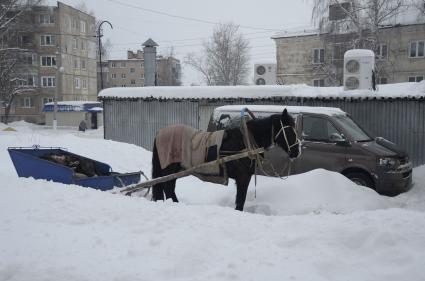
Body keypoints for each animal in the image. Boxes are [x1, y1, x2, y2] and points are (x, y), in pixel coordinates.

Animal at [151, 108, 300, 209]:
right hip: (169, 169)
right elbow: (240, 201)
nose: (297, 152)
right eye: (289, 130)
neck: (247, 141)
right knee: (168, 188)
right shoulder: (243, 177)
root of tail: (160, 133)